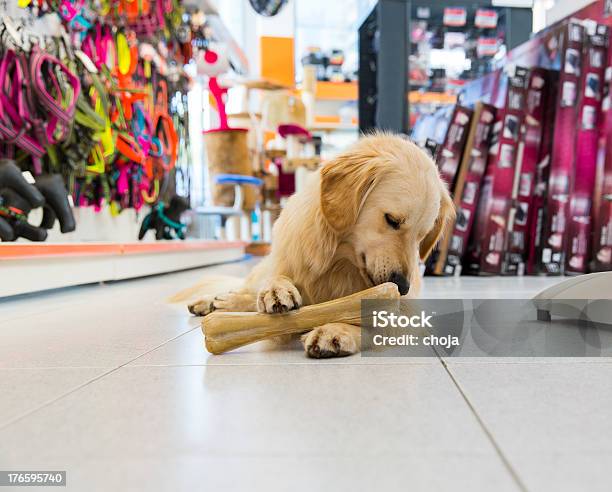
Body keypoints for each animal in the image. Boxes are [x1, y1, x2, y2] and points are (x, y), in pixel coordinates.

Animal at [189, 134, 452, 358]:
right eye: (392, 220)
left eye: (421, 237)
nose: (403, 286)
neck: (339, 264)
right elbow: (279, 279)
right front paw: (277, 289)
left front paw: (336, 330)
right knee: (247, 288)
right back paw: (214, 301)